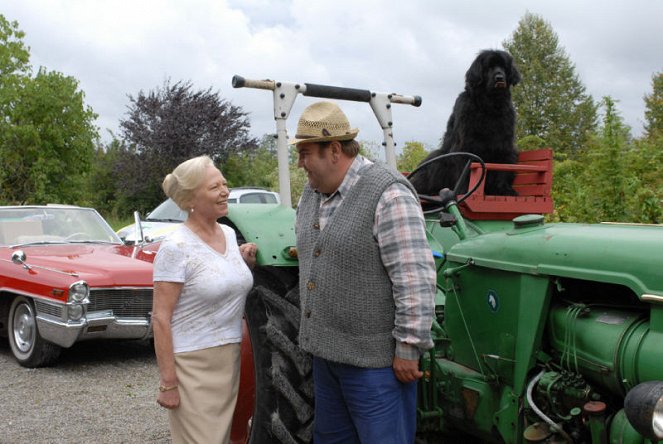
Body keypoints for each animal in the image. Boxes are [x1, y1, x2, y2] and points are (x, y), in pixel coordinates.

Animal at [410, 49, 524, 197]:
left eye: (504, 67)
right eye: (489, 67)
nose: (499, 77)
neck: (490, 105)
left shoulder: (504, 144)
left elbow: (503, 166)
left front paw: (504, 190)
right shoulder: (467, 145)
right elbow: (466, 169)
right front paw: (464, 191)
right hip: (437, 159)